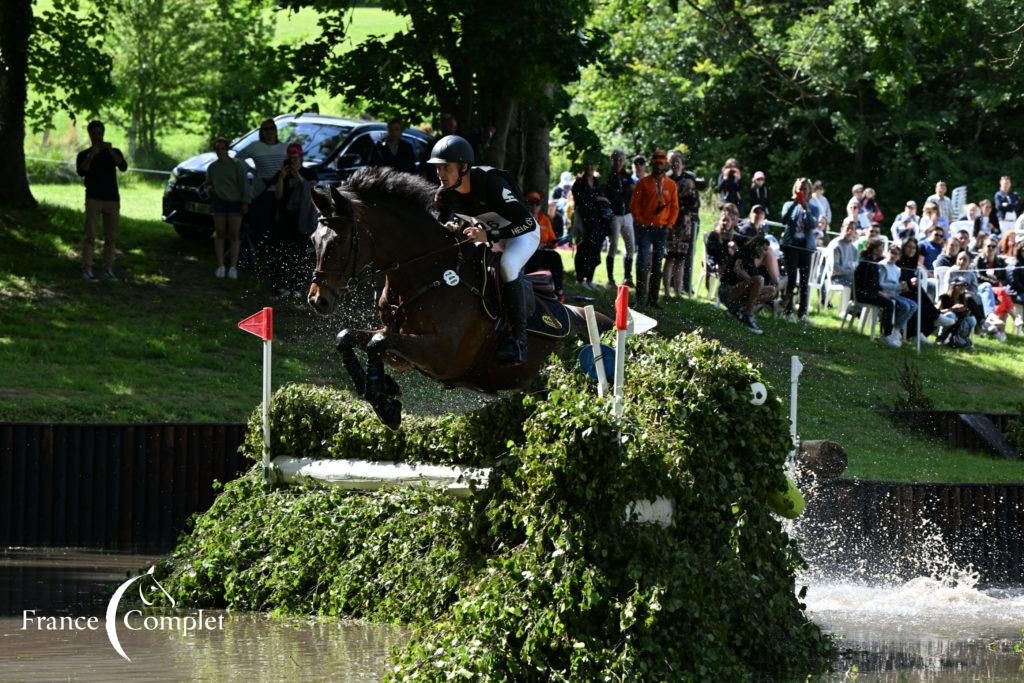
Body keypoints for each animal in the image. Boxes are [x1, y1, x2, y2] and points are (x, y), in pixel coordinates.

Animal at [303, 165, 606, 428]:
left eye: (339, 241)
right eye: (313, 239)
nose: (318, 301)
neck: (428, 272)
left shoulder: (441, 354)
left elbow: (376, 343)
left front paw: (385, 404)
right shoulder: (399, 347)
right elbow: (349, 337)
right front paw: (381, 391)